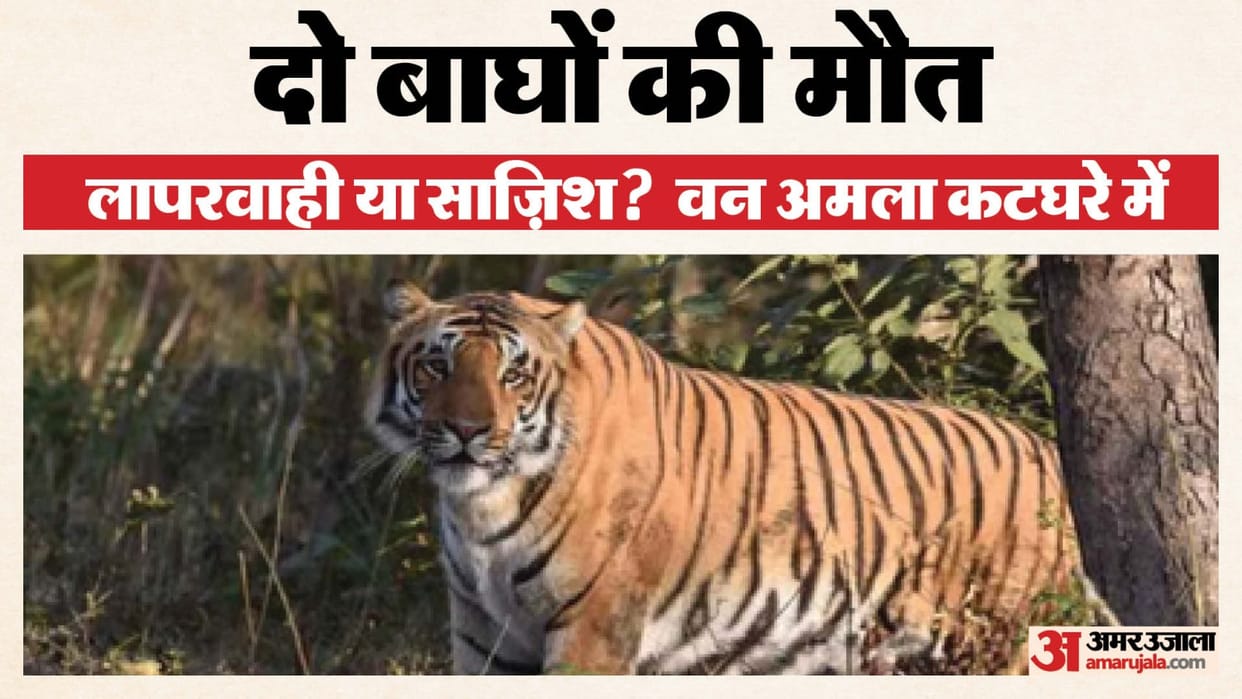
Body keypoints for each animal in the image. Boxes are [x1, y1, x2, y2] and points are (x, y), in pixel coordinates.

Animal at [365, 280, 1098, 675]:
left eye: (512, 374)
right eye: (436, 366)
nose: (467, 430)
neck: (483, 507)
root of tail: (1047, 452)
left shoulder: (592, 629)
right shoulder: (484, 636)